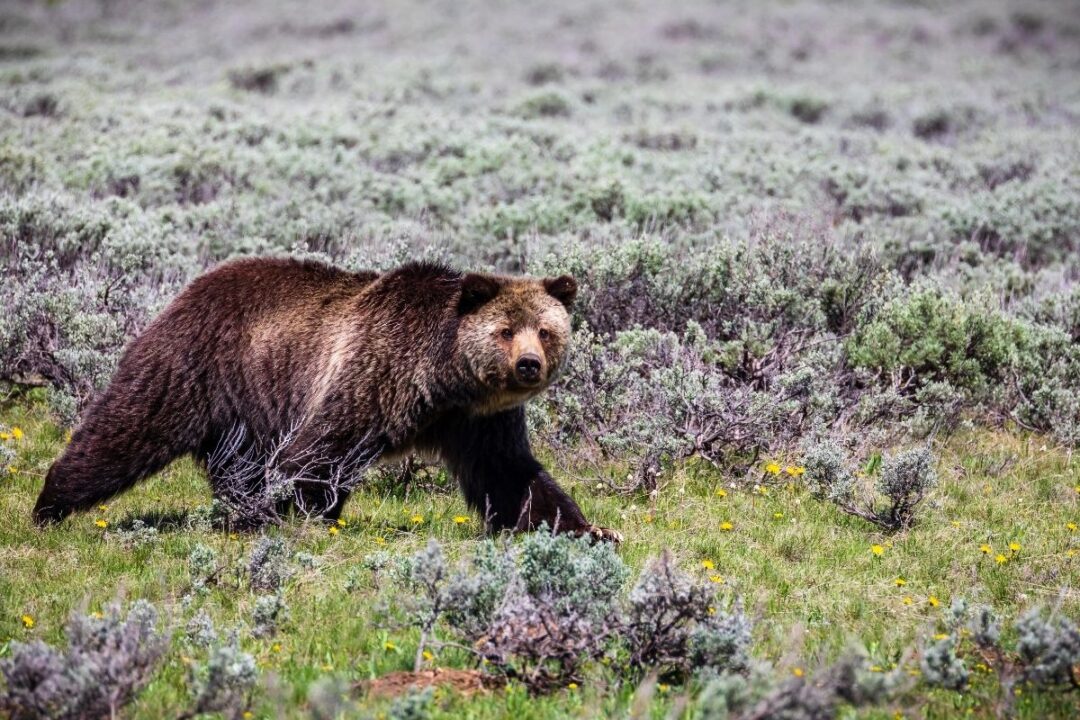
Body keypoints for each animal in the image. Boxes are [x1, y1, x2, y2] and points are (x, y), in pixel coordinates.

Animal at [33, 257, 621, 541]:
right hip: (198, 365)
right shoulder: (374, 372)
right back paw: (50, 504)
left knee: (235, 463)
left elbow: (512, 474)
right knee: (126, 428)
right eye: (504, 331)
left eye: (545, 329)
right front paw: (295, 512)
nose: (529, 364)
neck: (444, 378)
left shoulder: (478, 419)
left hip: (246, 409)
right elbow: (319, 450)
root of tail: (191, 285)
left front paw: (590, 530)